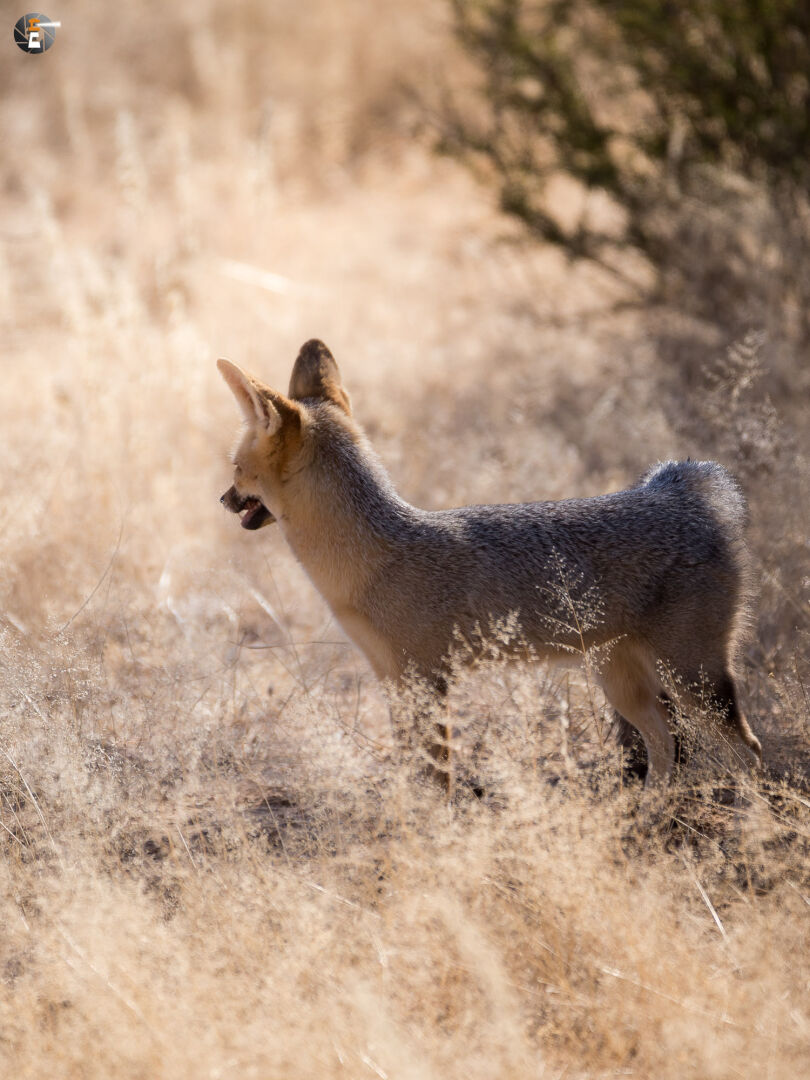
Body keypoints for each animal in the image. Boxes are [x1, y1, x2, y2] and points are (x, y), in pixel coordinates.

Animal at [218, 339, 762, 790]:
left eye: (236, 469)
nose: (222, 499)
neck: (372, 559)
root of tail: (683, 495)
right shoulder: (394, 681)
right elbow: (411, 771)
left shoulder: (429, 680)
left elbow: (437, 779)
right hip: (624, 684)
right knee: (667, 748)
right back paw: (646, 816)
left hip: (691, 679)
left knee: (747, 751)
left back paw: (750, 825)